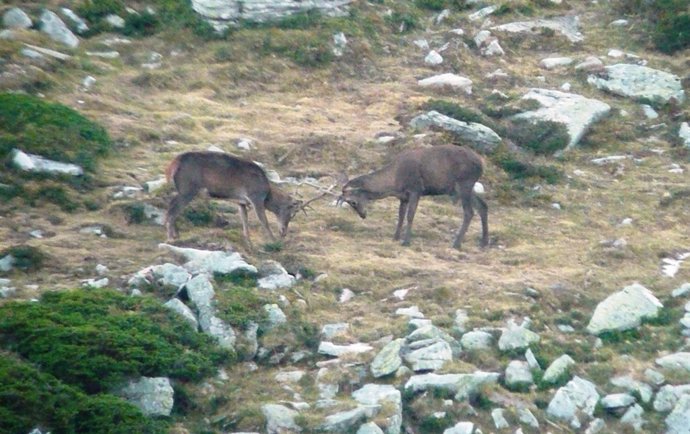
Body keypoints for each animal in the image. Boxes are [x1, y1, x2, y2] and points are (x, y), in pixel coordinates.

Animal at [164, 151, 323, 247]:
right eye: (291, 212)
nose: (283, 232)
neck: (267, 194)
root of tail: (172, 164)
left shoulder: (241, 202)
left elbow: (244, 221)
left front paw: (249, 242)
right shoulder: (255, 196)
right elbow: (264, 221)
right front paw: (273, 241)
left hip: (184, 189)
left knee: (171, 207)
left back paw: (175, 234)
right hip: (188, 188)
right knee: (172, 209)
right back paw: (171, 236)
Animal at [337, 144, 488, 249]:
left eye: (353, 202)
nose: (363, 215)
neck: (395, 180)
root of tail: (481, 164)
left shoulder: (416, 189)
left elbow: (410, 216)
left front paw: (406, 241)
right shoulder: (403, 197)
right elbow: (400, 216)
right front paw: (395, 237)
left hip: (464, 184)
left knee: (469, 212)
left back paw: (456, 243)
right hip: (463, 188)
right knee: (483, 206)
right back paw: (483, 242)